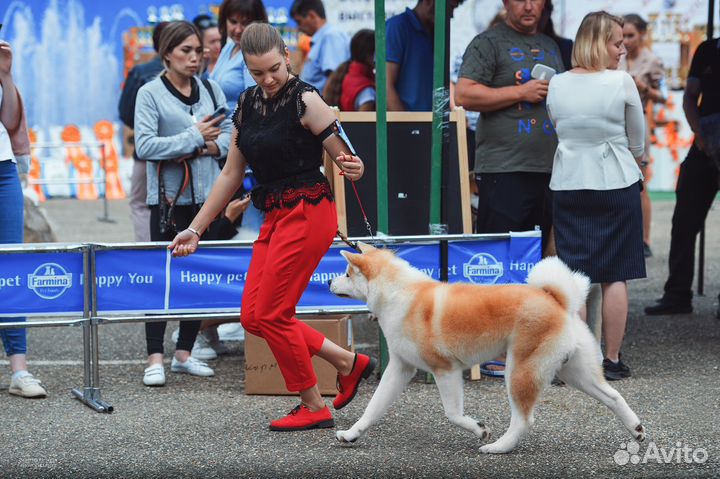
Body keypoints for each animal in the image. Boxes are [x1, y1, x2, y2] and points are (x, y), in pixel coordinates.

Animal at [330, 246, 644, 456]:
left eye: (346, 273)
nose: (330, 281)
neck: (399, 296)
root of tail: (556, 299)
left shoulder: (445, 370)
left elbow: (453, 414)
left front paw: (479, 429)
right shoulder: (399, 368)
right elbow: (373, 408)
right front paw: (351, 434)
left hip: (519, 371)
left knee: (524, 419)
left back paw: (498, 447)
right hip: (576, 372)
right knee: (613, 396)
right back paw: (636, 429)